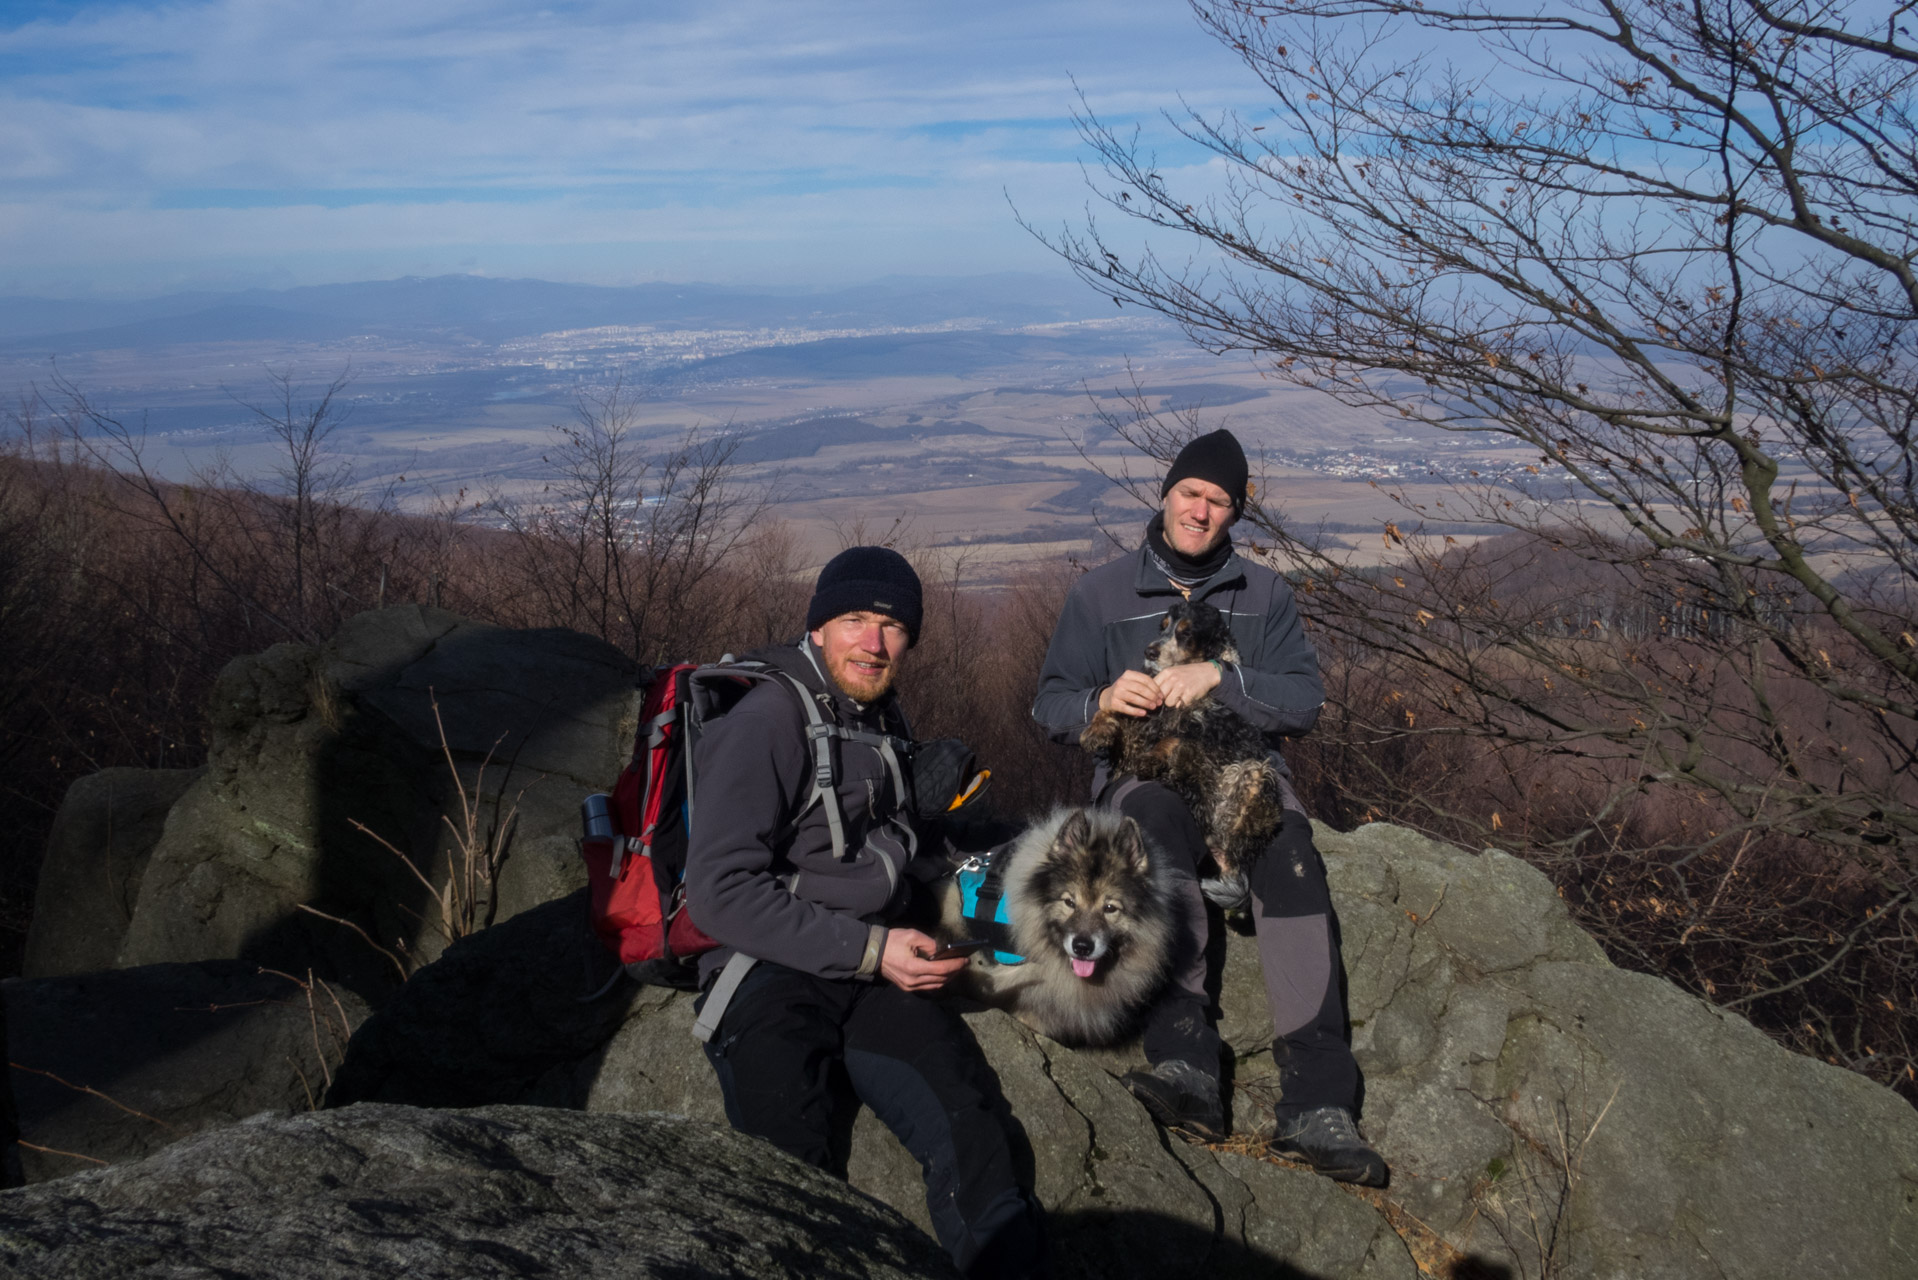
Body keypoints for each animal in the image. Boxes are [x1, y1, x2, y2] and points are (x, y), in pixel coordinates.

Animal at [1089, 598, 1281, 882]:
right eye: (1163, 627)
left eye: (1186, 634)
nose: (1150, 652)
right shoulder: (1144, 722)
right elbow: (1118, 710)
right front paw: (1095, 730)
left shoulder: (1211, 732)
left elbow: (1175, 738)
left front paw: (1152, 758)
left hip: (1254, 772)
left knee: (1247, 834)